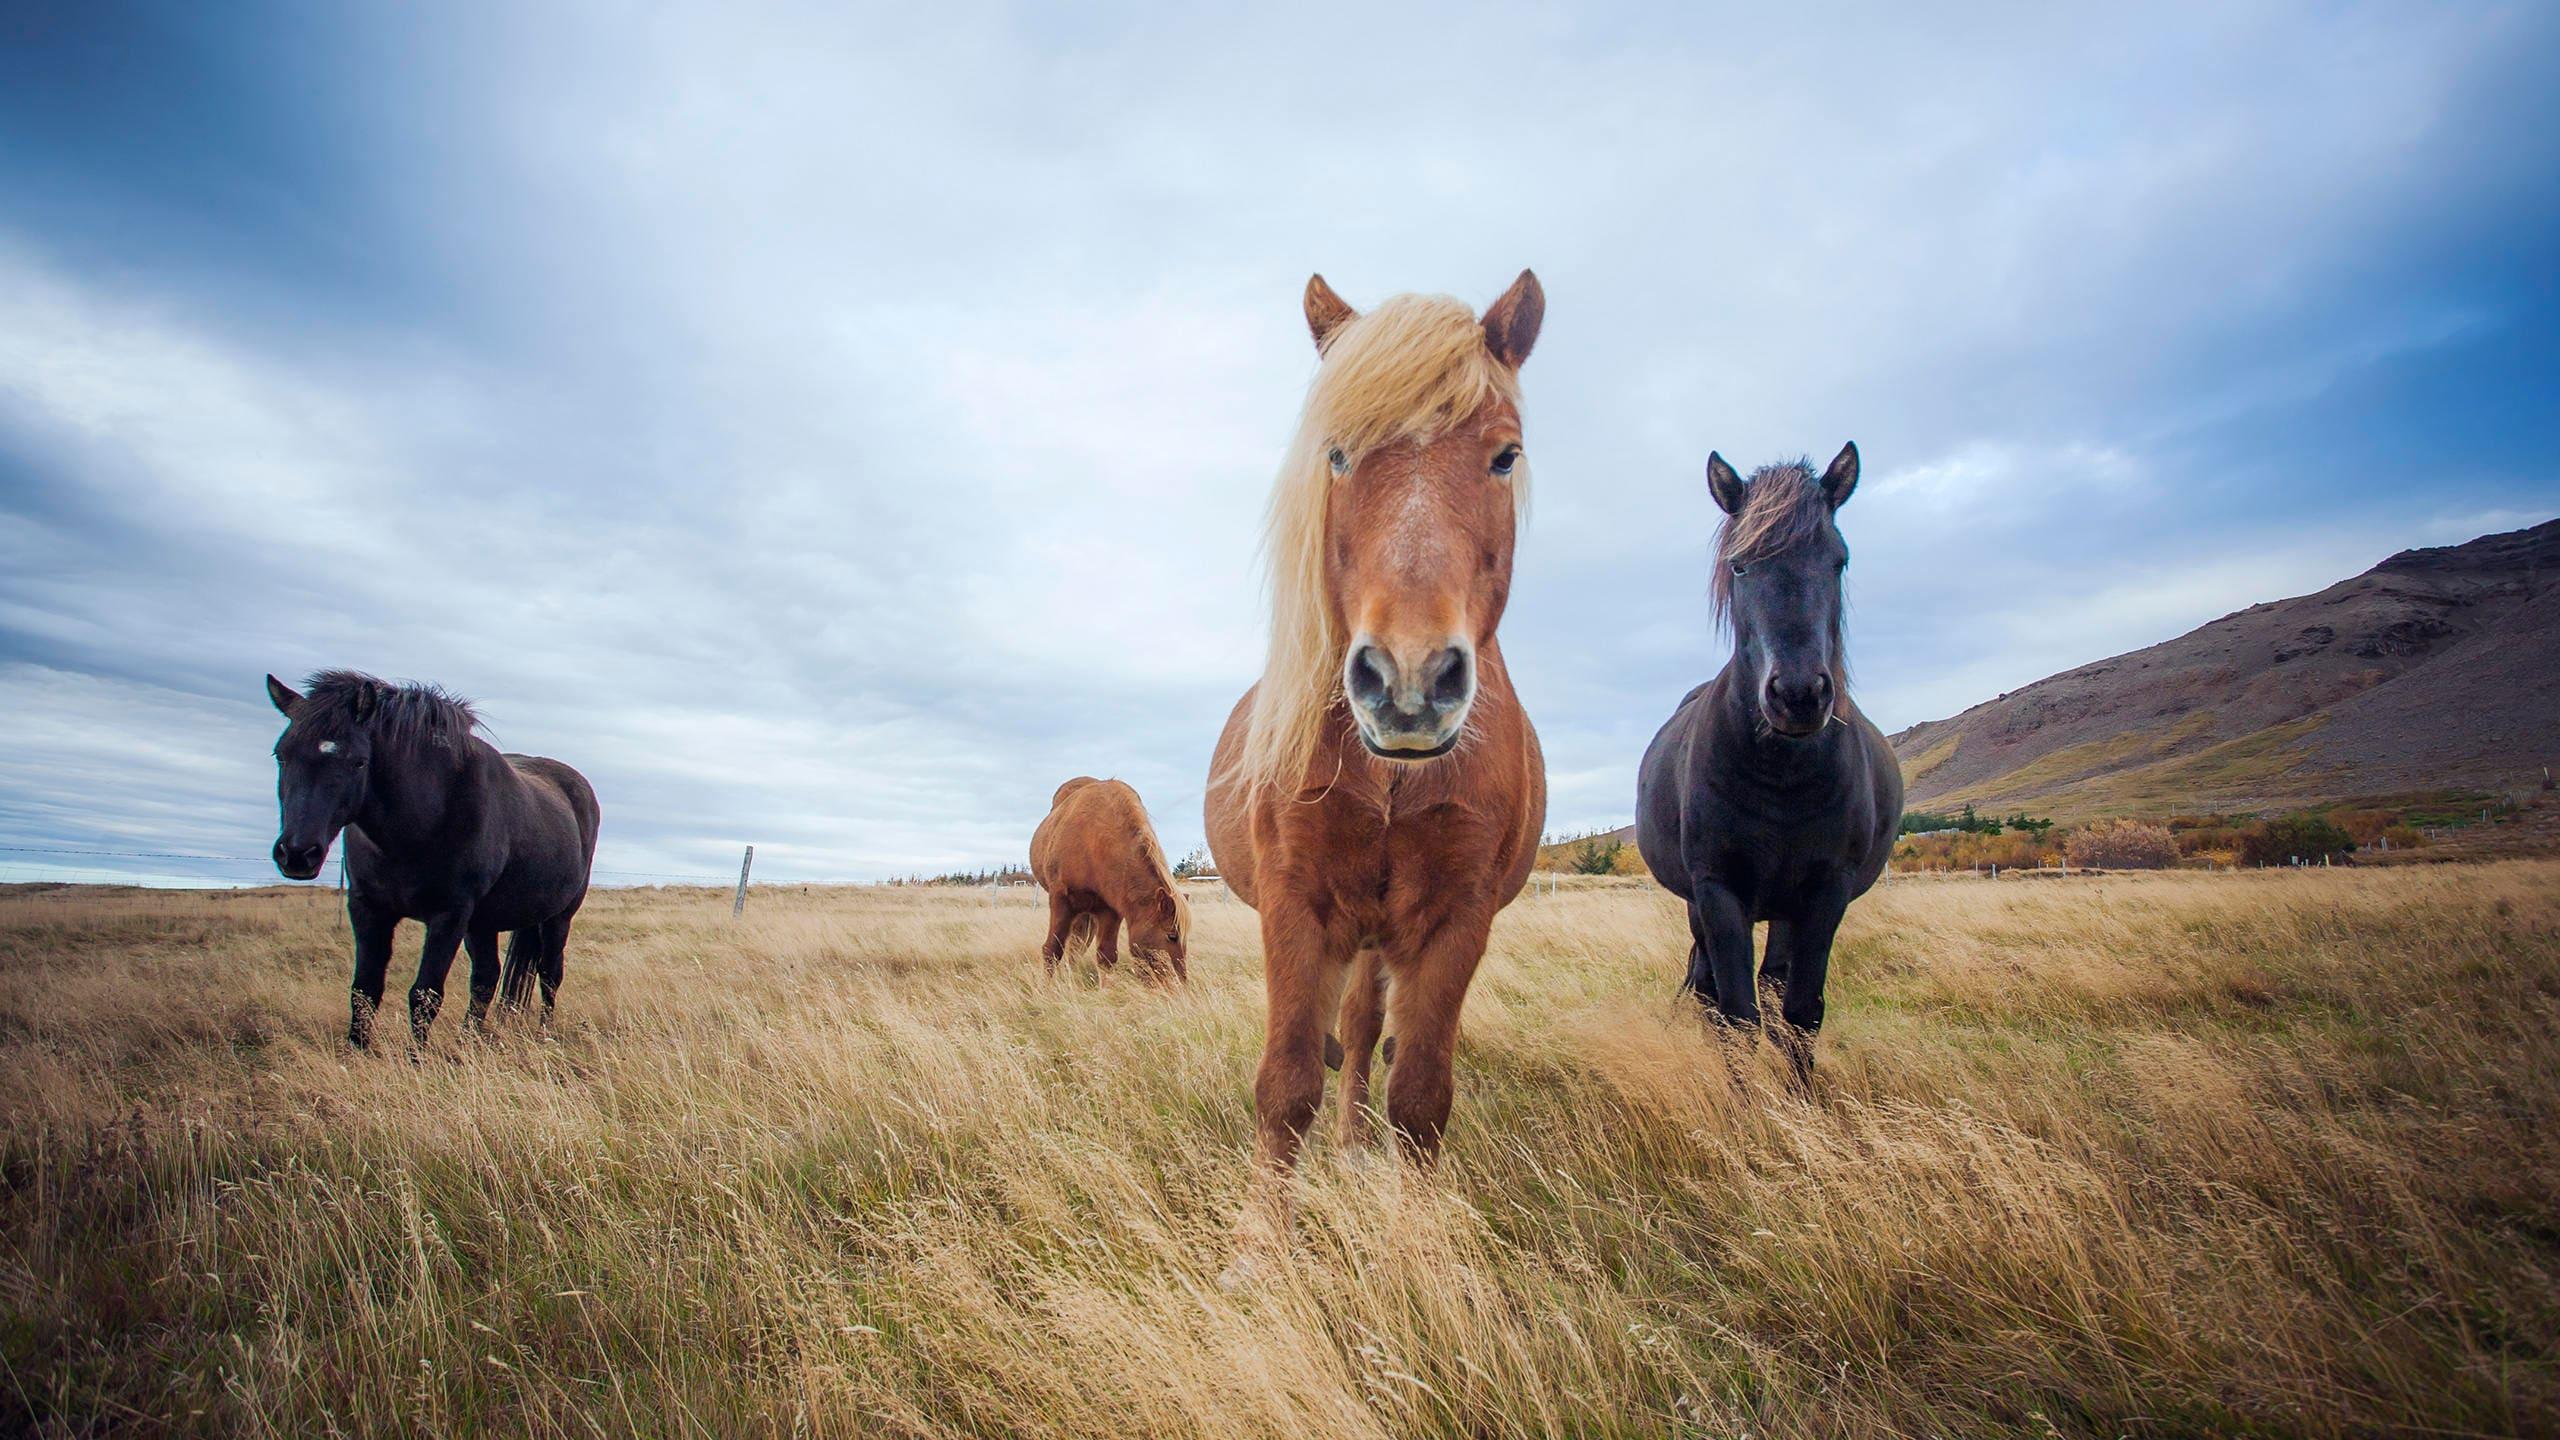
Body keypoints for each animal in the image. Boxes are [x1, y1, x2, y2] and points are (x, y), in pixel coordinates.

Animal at [265, 670, 602, 1049]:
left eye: (359, 761)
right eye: (281, 755)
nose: (297, 853)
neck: (418, 823)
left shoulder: (450, 915)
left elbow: (425, 995)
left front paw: (417, 1059)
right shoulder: (367, 908)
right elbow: (364, 990)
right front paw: (355, 1052)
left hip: (557, 917)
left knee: (549, 973)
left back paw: (544, 1034)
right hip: (483, 921)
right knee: (486, 977)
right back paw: (469, 1042)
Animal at [1029, 776, 1190, 983]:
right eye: (1171, 936)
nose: (1180, 984)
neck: (1093, 841)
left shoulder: (1110, 910)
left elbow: (1106, 957)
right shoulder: (1060, 900)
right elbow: (1052, 949)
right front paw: (1047, 987)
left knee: (1076, 946)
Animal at [1205, 270, 1547, 1190]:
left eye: (1505, 455)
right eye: (1336, 454)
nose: (1409, 681)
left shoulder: (1456, 919)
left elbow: (1421, 1097)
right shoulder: (1295, 903)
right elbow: (1286, 1086)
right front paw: (1264, 1230)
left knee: (1363, 1032)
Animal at [1633, 445, 1902, 1078]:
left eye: (1839, 561)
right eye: (1739, 566)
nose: (1799, 694)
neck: (1783, 778)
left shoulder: (1826, 892)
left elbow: (1801, 1012)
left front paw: (1801, 1103)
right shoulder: (1717, 891)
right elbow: (1736, 1015)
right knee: (1710, 989)